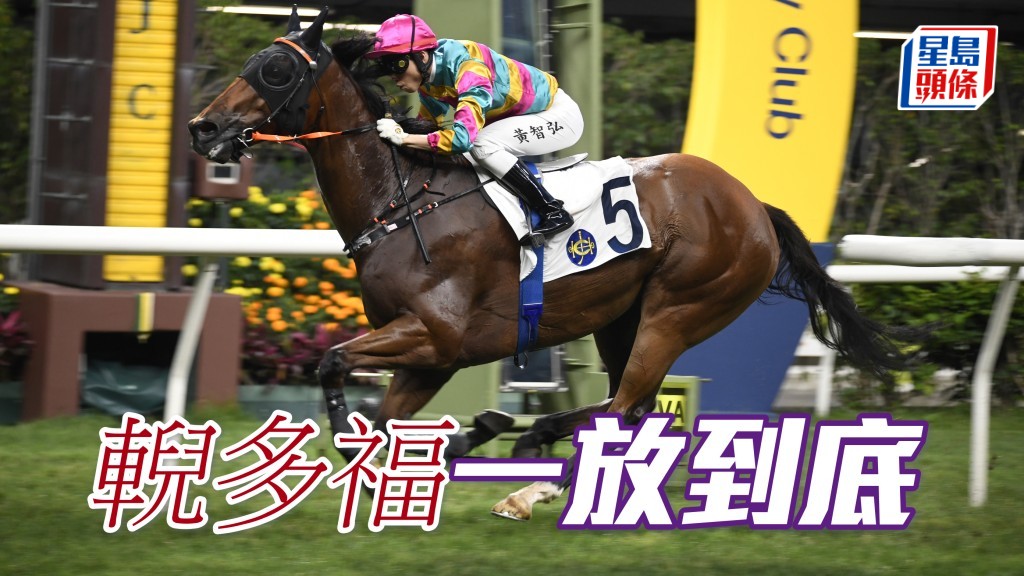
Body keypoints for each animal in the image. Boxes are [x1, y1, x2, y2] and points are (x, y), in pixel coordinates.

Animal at [189, 10, 913, 521]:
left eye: (274, 71)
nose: (203, 128)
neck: (402, 199)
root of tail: (753, 205)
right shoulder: (433, 354)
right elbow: (387, 417)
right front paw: (437, 449)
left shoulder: (437, 335)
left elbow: (333, 361)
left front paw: (373, 443)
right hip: (622, 320)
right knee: (632, 410)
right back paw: (534, 445)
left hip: (678, 310)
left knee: (625, 407)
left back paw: (530, 475)